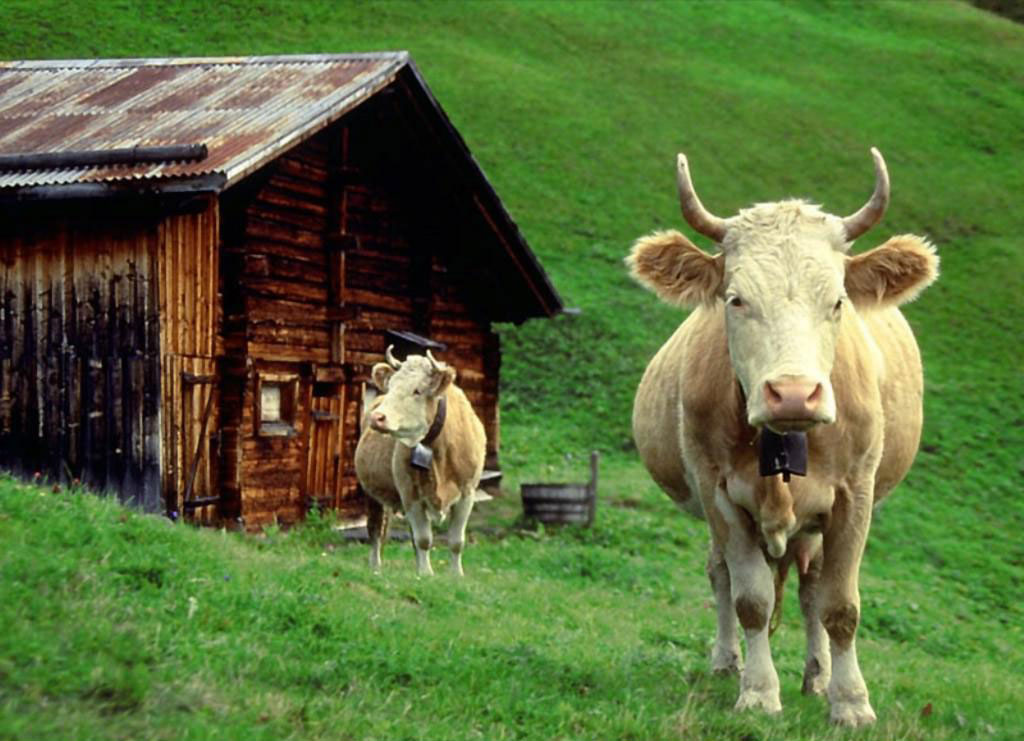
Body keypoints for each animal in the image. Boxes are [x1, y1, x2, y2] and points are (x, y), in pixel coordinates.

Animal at [354, 346, 486, 576]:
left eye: (417, 390)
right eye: (392, 386)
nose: (377, 417)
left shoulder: (467, 493)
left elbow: (456, 541)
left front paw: (455, 575)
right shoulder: (410, 494)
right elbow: (424, 539)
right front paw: (425, 574)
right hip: (371, 495)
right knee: (376, 529)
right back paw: (376, 566)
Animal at [626, 148, 938, 726]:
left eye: (838, 301)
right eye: (735, 299)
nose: (794, 394)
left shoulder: (855, 495)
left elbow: (840, 605)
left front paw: (851, 701)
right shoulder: (719, 493)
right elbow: (750, 598)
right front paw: (757, 690)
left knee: (812, 588)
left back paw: (816, 676)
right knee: (721, 574)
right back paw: (727, 662)